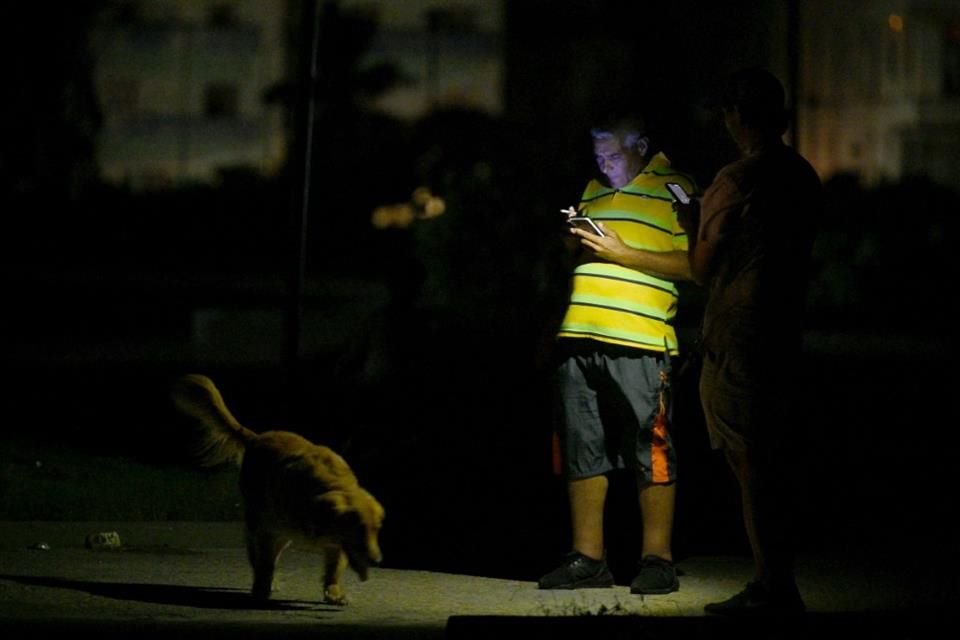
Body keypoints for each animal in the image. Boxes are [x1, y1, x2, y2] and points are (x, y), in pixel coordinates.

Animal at [171, 372, 384, 604]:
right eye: (359, 529)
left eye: (376, 529)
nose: (378, 561)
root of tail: (256, 437)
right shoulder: (269, 531)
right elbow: (265, 563)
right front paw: (262, 588)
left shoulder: (336, 542)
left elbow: (334, 568)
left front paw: (334, 591)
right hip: (261, 523)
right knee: (256, 555)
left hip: (282, 535)